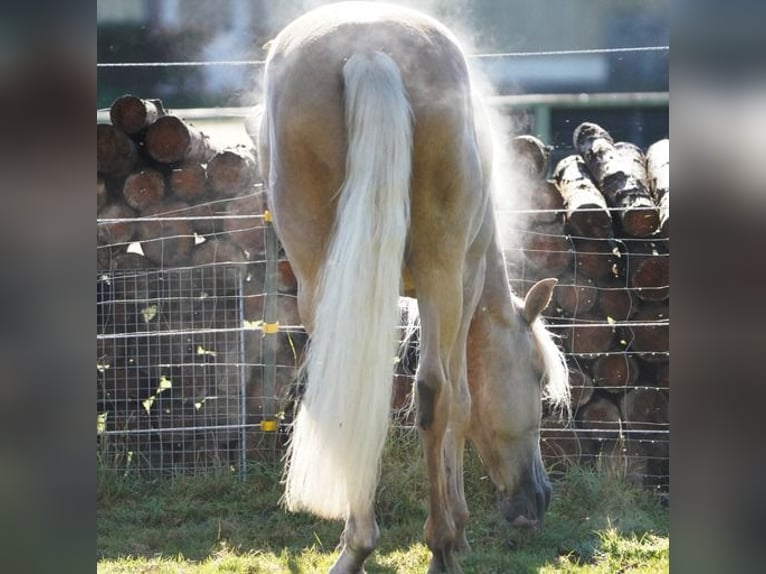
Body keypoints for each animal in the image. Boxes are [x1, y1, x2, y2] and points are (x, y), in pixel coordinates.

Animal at [256, 2, 568, 572]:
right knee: (438, 391)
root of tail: (369, 51)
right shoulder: (465, 281)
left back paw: (356, 545)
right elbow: (462, 404)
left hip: (324, 278)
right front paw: (459, 528)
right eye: (536, 377)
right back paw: (441, 543)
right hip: (444, 268)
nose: (536, 501)